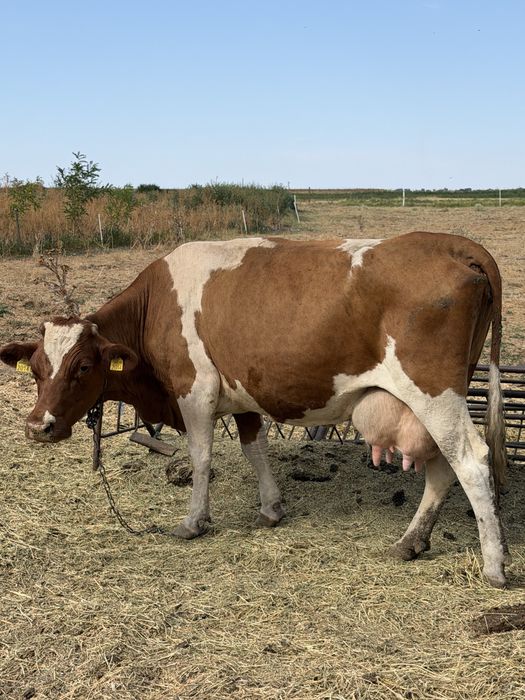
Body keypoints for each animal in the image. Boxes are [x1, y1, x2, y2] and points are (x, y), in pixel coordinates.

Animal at [0, 232, 509, 587]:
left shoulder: (195, 391)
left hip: (434, 392)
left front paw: (193, 521)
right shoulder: (243, 390)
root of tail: (451, 242)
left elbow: (202, 458)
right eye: (37, 368)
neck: (156, 303)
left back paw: (494, 565)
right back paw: (412, 541)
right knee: (442, 466)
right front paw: (270, 508)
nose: (37, 426)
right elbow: (254, 449)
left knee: (470, 461)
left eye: (83, 366)